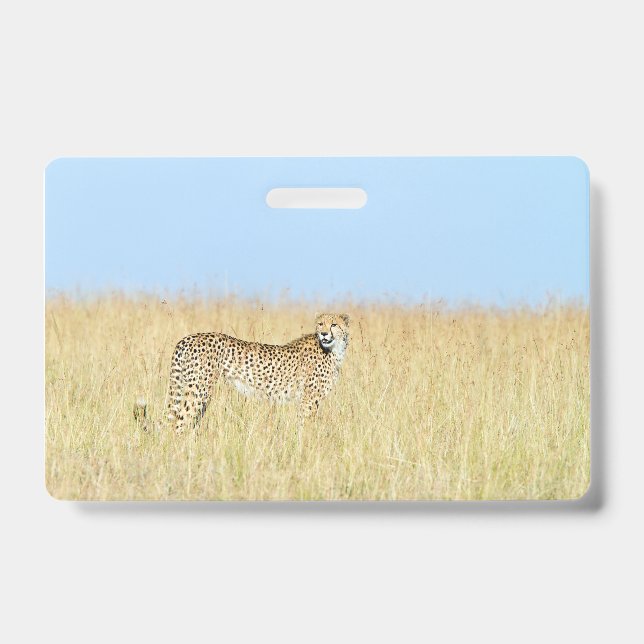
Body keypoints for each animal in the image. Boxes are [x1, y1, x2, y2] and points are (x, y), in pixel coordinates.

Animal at [134, 313, 350, 434]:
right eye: (321, 324)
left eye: (334, 324)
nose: (324, 333)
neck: (333, 349)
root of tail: (187, 338)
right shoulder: (309, 400)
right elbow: (306, 427)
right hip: (198, 390)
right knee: (178, 424)